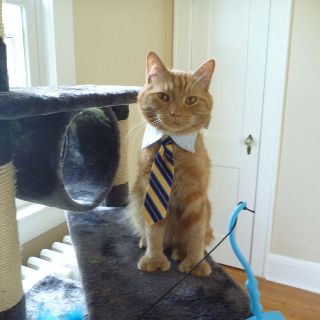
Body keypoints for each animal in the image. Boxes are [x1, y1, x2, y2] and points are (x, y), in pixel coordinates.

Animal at [129, 51, 215, 276]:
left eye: (191, 100)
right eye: (163, 97)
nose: (175, 113)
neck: (171, 146)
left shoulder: (196, 198)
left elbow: (195, 236)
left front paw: (195, 262)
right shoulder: (150, 193)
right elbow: (154, 232)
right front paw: (154, 259)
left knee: (190, 240)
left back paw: (179, 252)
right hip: (136, 202)